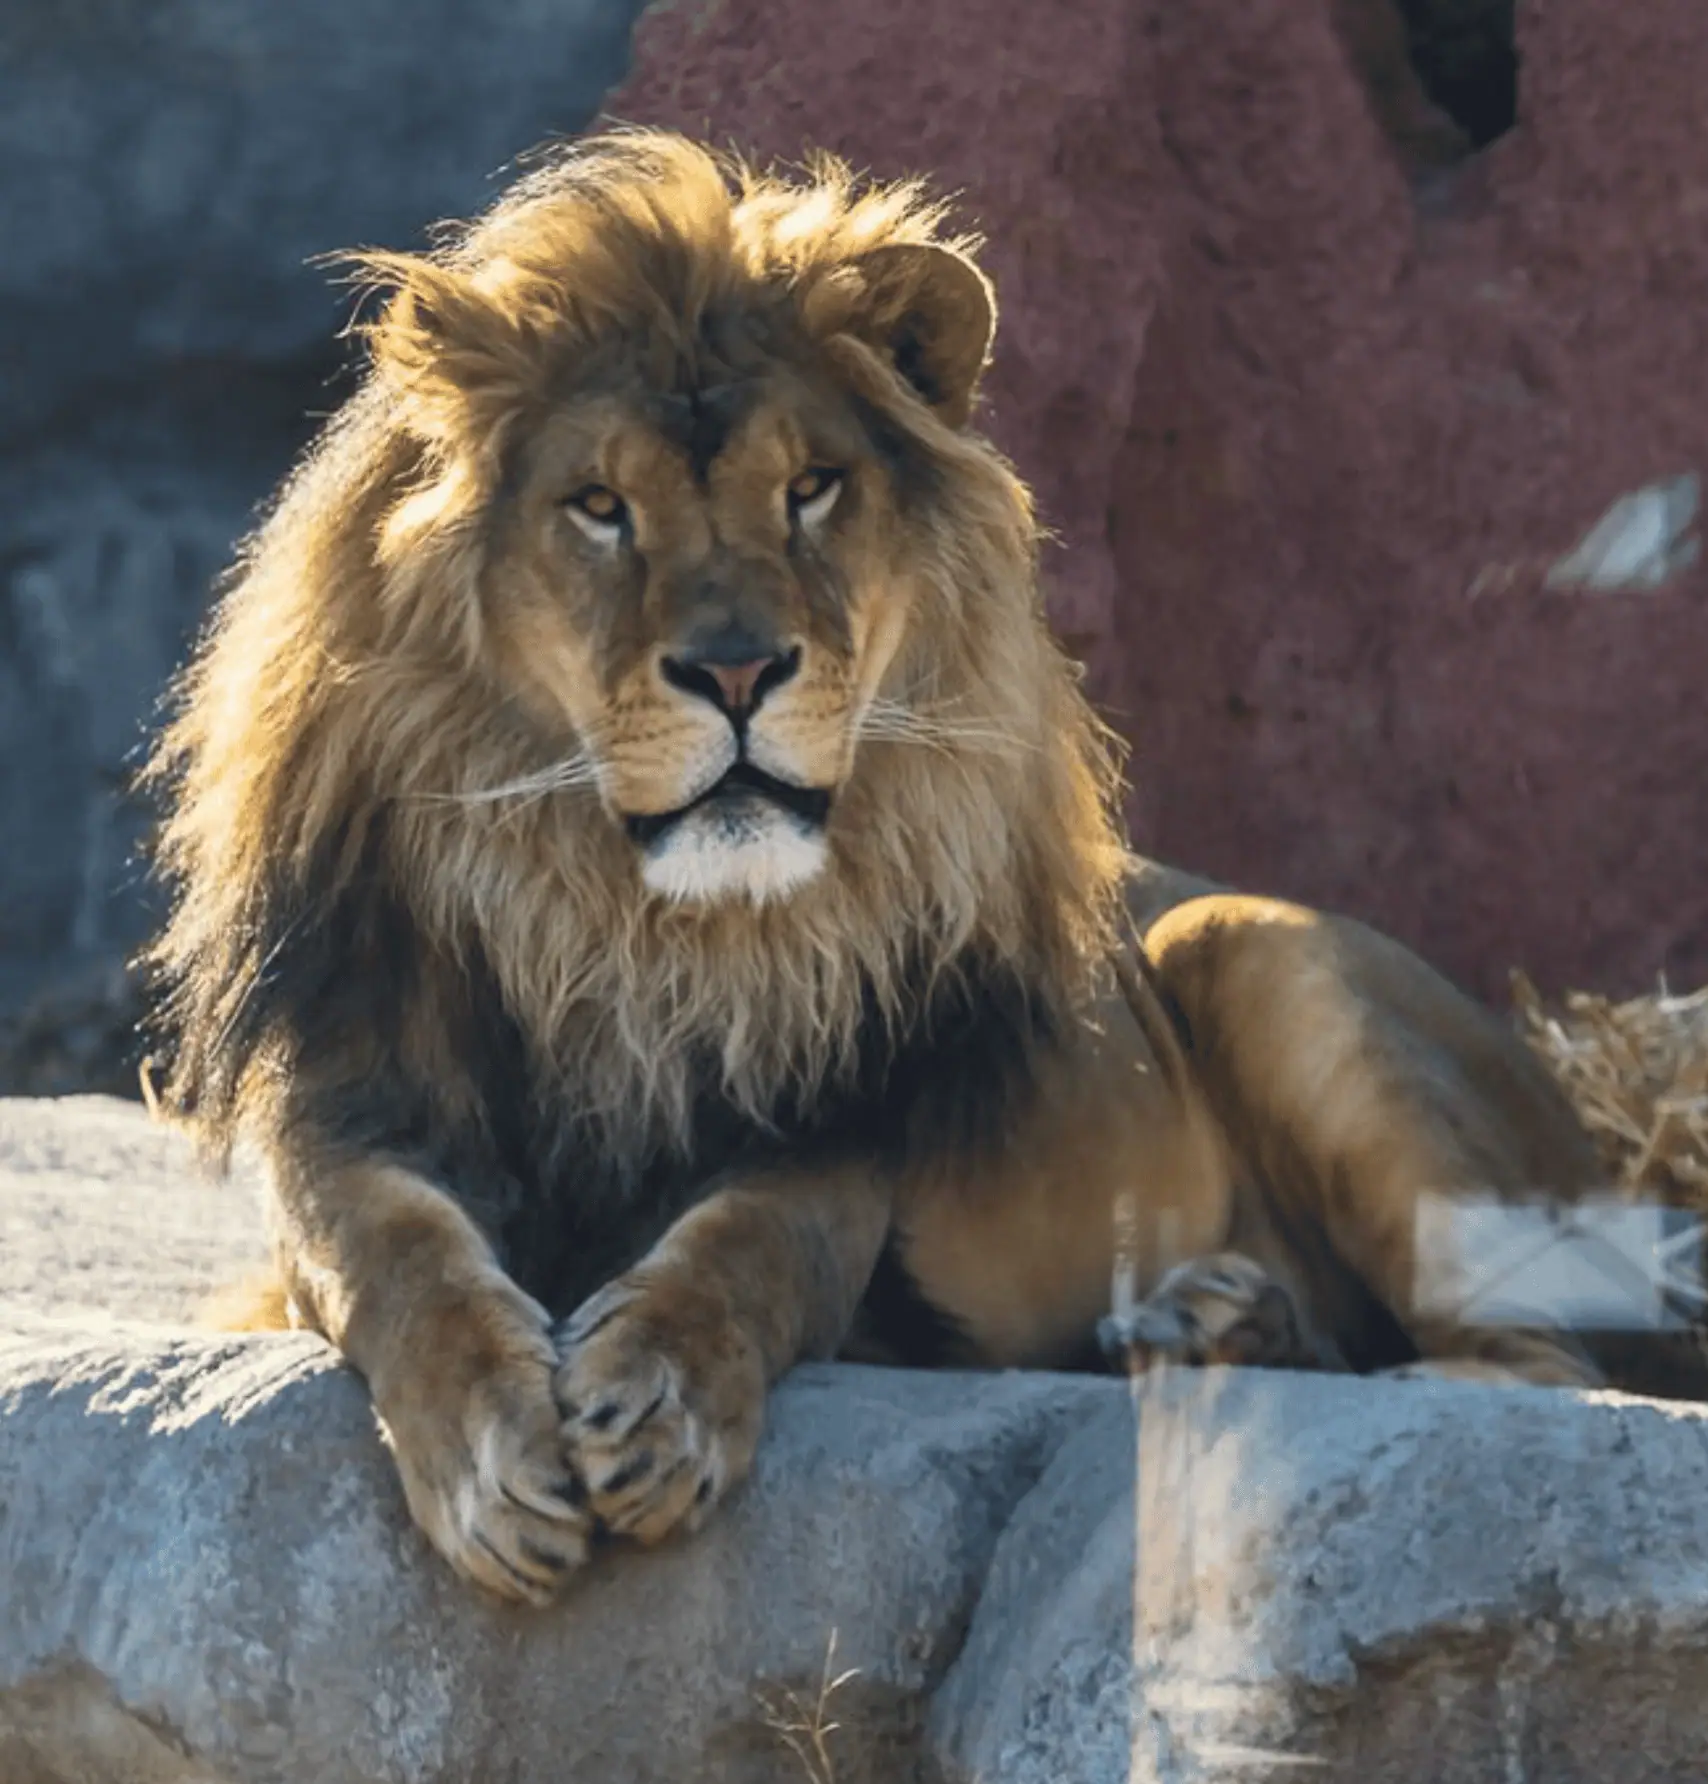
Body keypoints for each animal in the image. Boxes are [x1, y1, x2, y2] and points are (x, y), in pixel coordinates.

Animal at [142, 128, 1652, 1608]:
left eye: (811, 489)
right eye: (599, 506)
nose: (737, 670)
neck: (621, 924)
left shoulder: (834, 1132)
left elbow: (742, 1250)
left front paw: (659, 1403)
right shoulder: (343, 1102)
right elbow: (394, 1260)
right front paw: (492, 1462)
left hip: (1251, 946)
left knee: (1544, 1375)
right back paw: (1205, 1326)